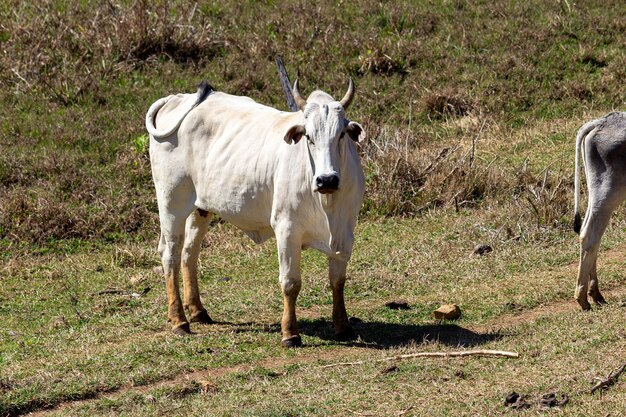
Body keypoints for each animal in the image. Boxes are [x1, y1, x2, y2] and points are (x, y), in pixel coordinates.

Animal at [144, 78, 364, 344]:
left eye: (341, 134)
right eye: (309, 137)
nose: (327, 180)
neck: (327, 204)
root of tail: (176, 99)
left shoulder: (345, 231)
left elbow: (337, 281)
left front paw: (343, 326)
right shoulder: (286, 228)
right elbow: (290, 283)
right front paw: (290, 333)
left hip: (200, 208)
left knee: (189, 253)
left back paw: (197, 310)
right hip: (171, 203)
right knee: (170, 254)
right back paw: (179, 320)